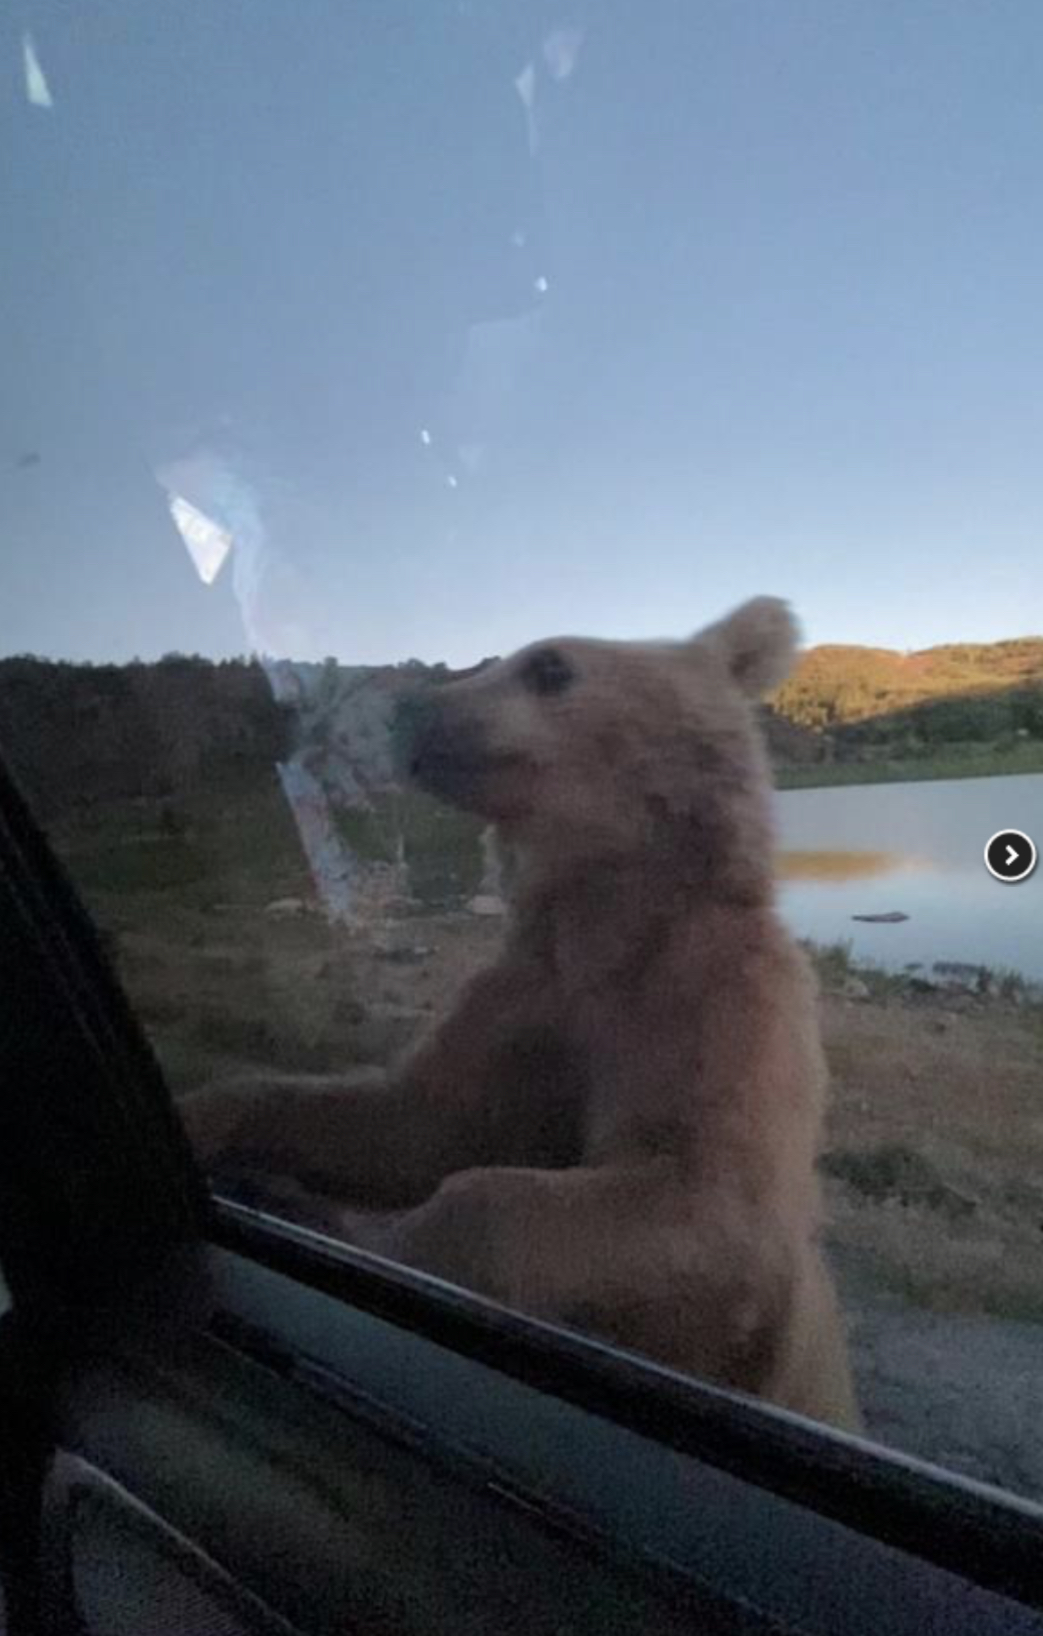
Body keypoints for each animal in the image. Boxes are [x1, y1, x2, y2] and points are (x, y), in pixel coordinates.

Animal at [183, 602, 863, 1433]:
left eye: (548, 665)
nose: (411, 710)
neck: (600, 922)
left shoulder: (710, 1005)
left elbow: (702, 1199)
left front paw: (353, 1227)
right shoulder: (526, 1001)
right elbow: (409, 1118)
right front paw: (210, 1122)